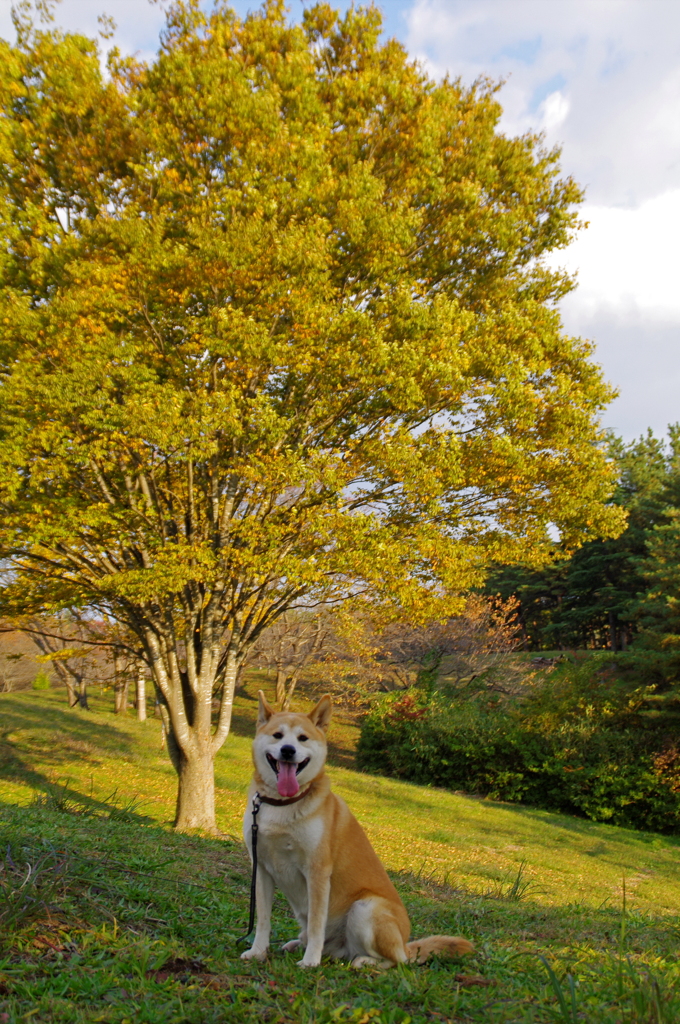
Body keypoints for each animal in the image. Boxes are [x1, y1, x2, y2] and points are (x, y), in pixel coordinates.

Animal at [240, 688, 473, 966]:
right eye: (277, 735)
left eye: (302, 738)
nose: (288, 750)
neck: (283, 804)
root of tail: (406, 945)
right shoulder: (262, 869)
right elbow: (263, 920)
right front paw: (258, 951)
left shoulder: (317, 872)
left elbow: (317, 924)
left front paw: (310, 962)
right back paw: (298, 945)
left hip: (365, 908)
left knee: (396, 961)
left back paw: (363, 961)